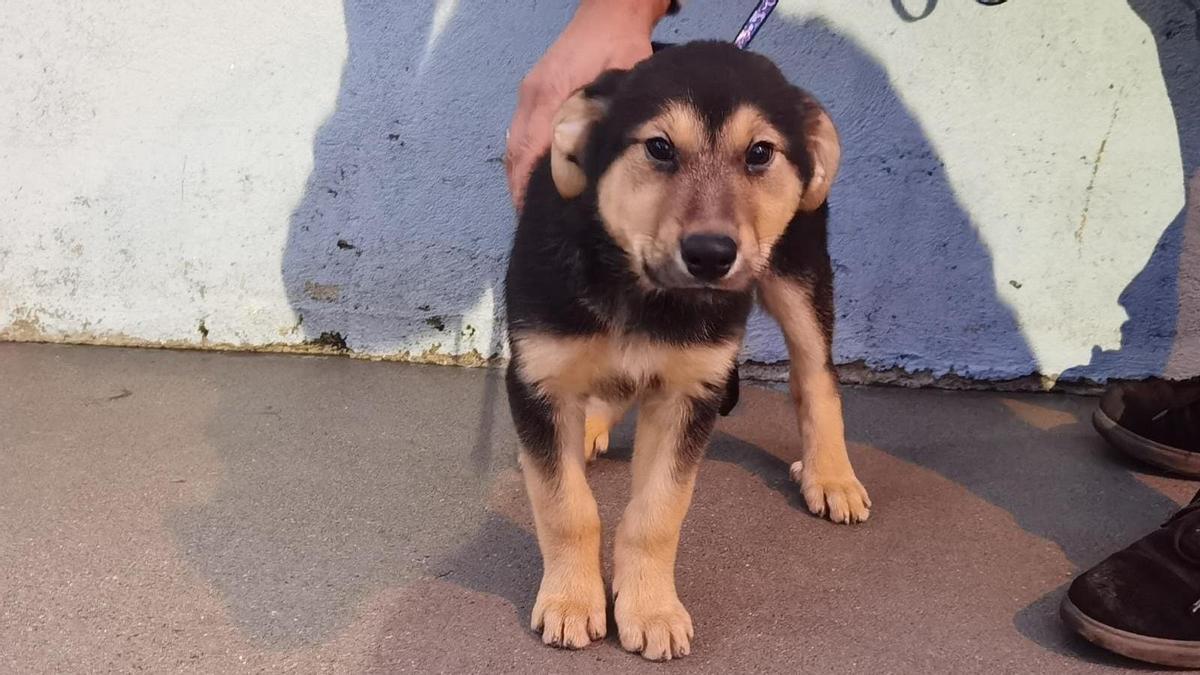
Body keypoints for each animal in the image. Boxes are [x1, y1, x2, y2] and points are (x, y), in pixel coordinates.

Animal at [501, 40, 868, 658]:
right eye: (659, 148)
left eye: (760, 153)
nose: (711, 255)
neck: (640, 288)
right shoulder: (538, 379)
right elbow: (565, 506)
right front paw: (572, 600)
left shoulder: (689, 393)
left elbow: (657, 512)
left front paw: (649, 608)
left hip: (798, 270)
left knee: (815, 374)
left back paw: (831, 475)